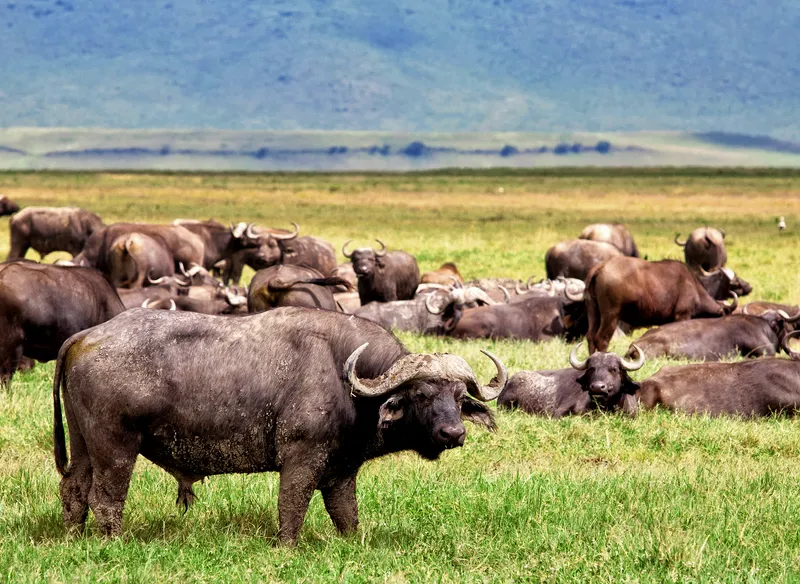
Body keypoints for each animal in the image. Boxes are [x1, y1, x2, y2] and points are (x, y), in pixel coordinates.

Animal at [53, 307, 507, 544]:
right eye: (422, 395)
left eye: (458, 397)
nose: (454, 434)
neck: (344, 379)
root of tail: (85, 336)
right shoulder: (301, 460)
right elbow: (292, 506)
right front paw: (287, 547)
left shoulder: (342, 470)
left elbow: (347, 514)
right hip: (116, 448)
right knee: (106, 497)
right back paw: (113, 540)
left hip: (84, 444)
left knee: (74, 488)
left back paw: (74, 537)